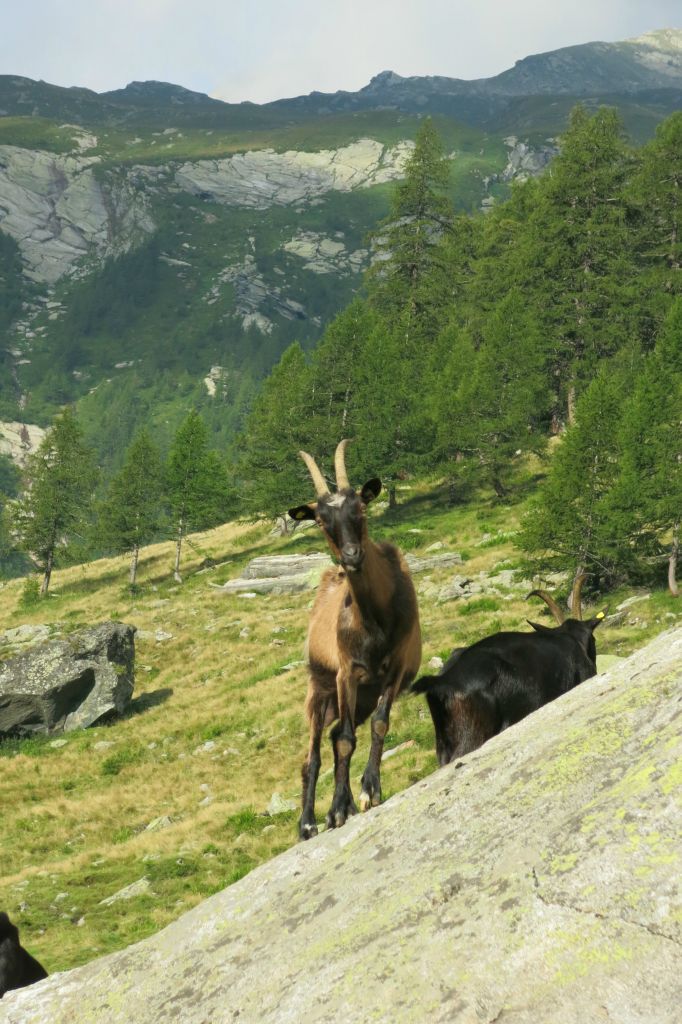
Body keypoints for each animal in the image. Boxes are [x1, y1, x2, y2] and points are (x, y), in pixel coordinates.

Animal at [286, 440, 419, 839]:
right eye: (319, 520)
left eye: (360, 506)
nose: (351, 555)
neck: (375, 619)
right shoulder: (348, 672)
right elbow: (345, 741)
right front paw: (335, 812)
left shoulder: (395, 668)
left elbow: (379, 724)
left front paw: (367, 791)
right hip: (320, 691)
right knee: (313, 755)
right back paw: (309, 822)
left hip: (360, 697)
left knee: (333, 739)